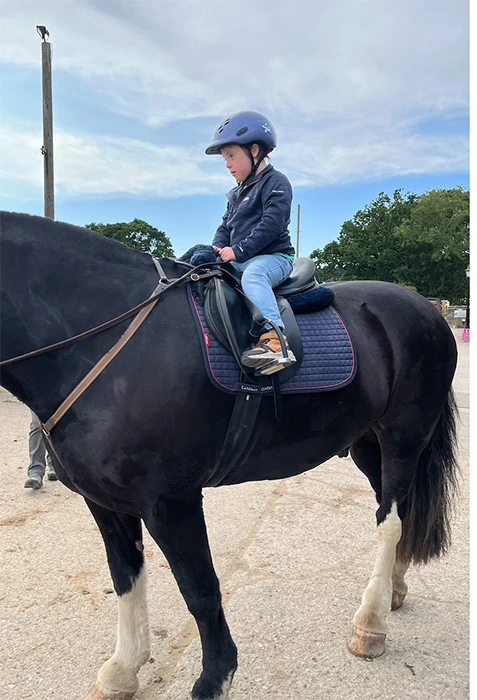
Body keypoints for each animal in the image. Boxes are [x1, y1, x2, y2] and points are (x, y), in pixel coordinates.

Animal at [0, 211, 458, 700]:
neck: (98, 344)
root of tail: (425, 307)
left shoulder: (171, 503)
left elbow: (200, 590)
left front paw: (214, 678)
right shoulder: (104, 502)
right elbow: (125, 577)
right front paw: (123, 670)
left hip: (403, 438)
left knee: (390, 523)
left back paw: (371, 624)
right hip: (368, 446)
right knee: (399, 511)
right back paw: (394, 589)